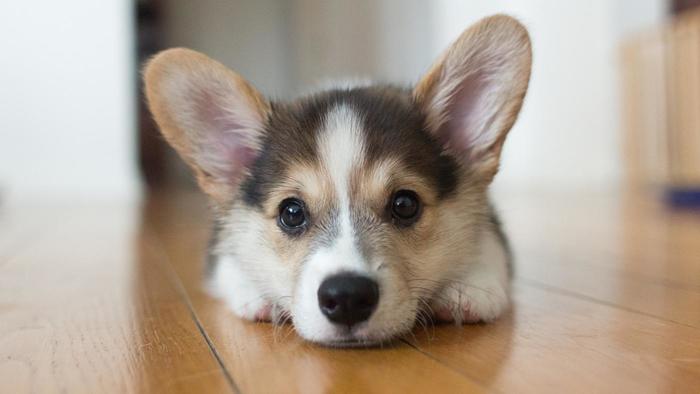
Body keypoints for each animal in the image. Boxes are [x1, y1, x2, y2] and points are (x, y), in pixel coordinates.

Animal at [145, 15, 532, 346]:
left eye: (405, 204)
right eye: (291, 213)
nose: (347, 297)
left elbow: (489, 248)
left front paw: (468, 287)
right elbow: (231, 263)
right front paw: (258, 294)